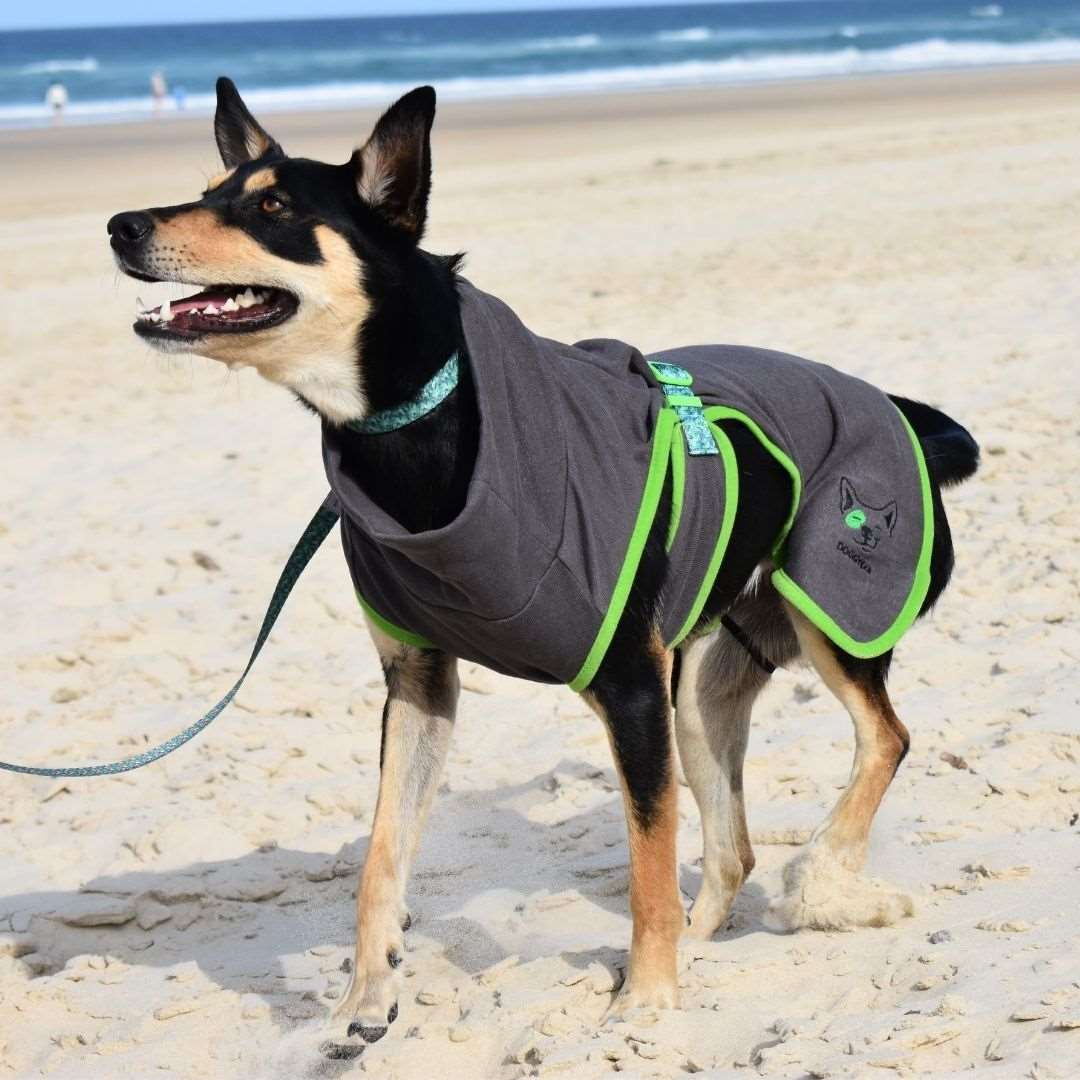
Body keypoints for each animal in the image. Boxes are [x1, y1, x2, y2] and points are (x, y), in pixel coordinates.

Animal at [107, 78, 980, 1054]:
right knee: (734, 841)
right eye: (212, 190)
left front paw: (646, 1004)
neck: (423, 422)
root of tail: (904, 411)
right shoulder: (420, 684)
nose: (120, 226)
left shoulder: (630, 686)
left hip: (833, 612)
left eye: (272, 208)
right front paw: (365, 996)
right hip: (701, 691)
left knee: (885, 738)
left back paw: (812, 886)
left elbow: (646, 862)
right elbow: (380, 856)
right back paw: (706, 945)